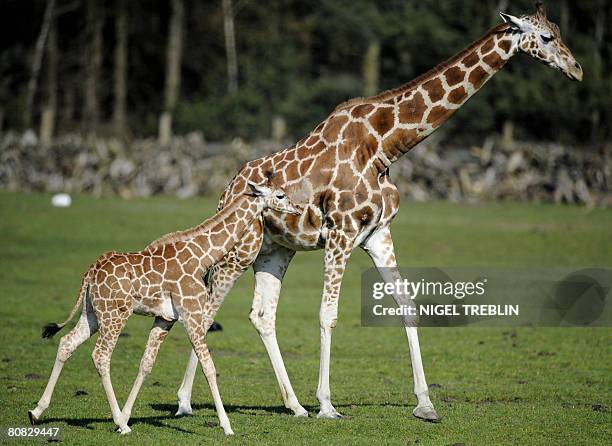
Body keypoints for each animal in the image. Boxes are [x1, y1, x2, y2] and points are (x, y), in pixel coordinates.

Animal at [28, 182, 302, 436]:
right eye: (280, 195)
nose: (298, 209)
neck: (203, 256)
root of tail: (90, 273)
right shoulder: (192, 313)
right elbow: (209, 367)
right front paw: (226, 426)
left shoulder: (164, 318)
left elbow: (146, 363)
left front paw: (126, 415)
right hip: (115, 314)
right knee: (101, 355)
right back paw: (120, 424)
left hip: (93, 313)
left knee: (67, 342)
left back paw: (37, 411)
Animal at [175, 2, 580, 422]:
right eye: (546, 37)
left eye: (559, 31)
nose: (577, 69)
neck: (385, 146)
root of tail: (227, 190)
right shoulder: (341, 232)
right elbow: (328, 314)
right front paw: (327, 404)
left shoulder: (377, 234)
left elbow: (407, 306)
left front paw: (425, 404)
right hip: (238, 251)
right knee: (205, 313)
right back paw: (185, 402)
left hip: (274, 251)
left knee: (261, 315)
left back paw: (293, 405)